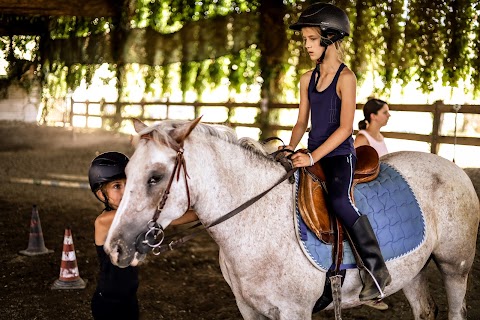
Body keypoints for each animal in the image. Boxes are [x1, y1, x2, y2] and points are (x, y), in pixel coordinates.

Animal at [105, 119, 480, 318]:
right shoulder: (249, 308)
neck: (256, 222)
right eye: (126, 173)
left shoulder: (293, 311)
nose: (115, 247)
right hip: (412, 271)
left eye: (155, 177)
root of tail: (452, 167)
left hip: (455, 267)